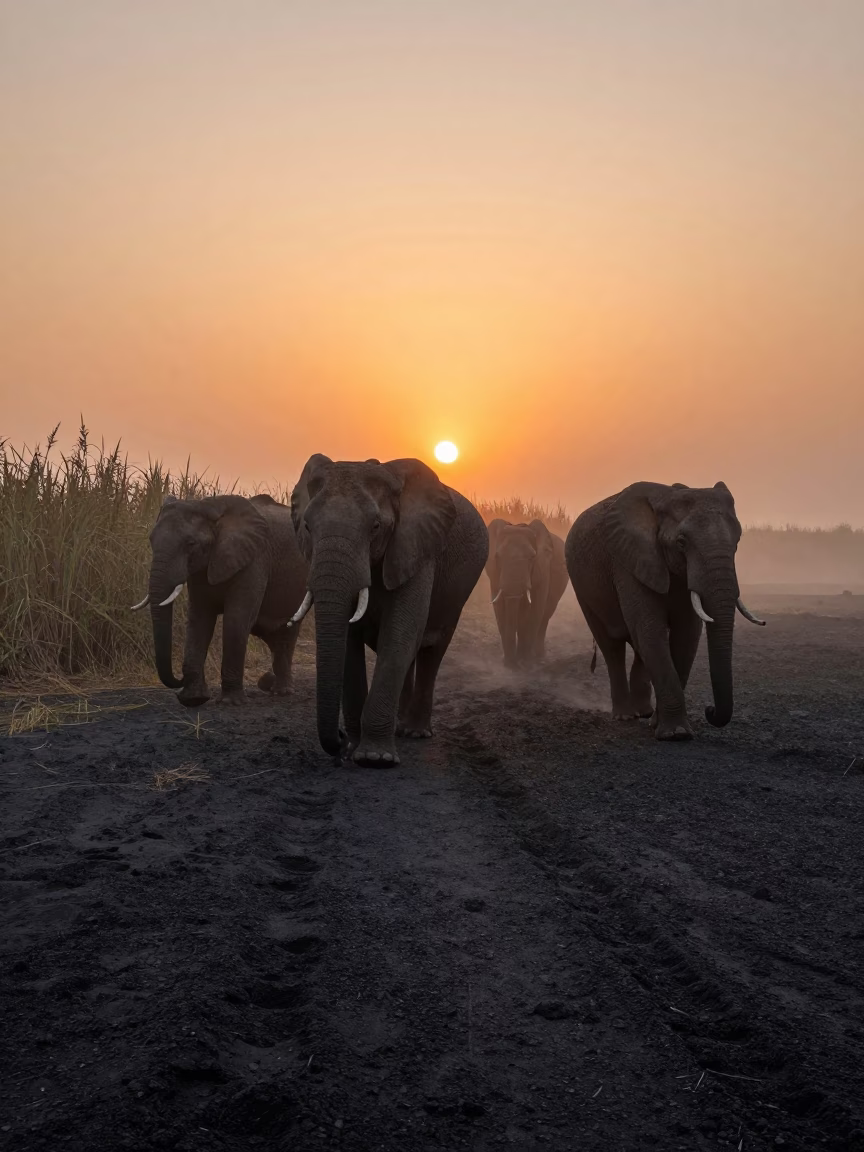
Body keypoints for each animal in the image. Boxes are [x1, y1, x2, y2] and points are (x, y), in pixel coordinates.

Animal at [131, 493, 309, 707]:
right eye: (151, 540)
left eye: (190, 544)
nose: (180, 678)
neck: (211, 508)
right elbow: (199, 619)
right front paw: (194, 699)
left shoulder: (255, 559)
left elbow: (236, 619)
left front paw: (230, 702)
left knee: (285, 635)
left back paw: (281, 691)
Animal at [290, 455, 489, 764]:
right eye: (307, 527)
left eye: (375, 527)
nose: (340, 739)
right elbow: (350, 642)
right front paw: (355, 749)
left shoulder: (417, 547)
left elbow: (400, 633)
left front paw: (374, 758)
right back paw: (399, 728)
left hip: (458, 592)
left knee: (433, 649)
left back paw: (416, 732)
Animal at [485, 519, 569, 667]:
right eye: (497, 556)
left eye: (532, 557)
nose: (512, 664)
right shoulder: (495, 573)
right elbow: (500, 609)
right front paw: (508, 662)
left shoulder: (543, 567)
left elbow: (536, 607)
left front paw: (525, 661)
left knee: (545, 616)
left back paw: (539, 656)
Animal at [565, 481, 765, 740]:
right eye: (681, 543)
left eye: (737, 542)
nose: (709, 710)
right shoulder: (629, 561)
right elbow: (650, 629)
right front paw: (675, 734)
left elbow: (686, 635)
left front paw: (662, 726)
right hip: (581, 587)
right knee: (612, 646)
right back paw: (625, 716)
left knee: (637, 646)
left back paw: (645, 713)